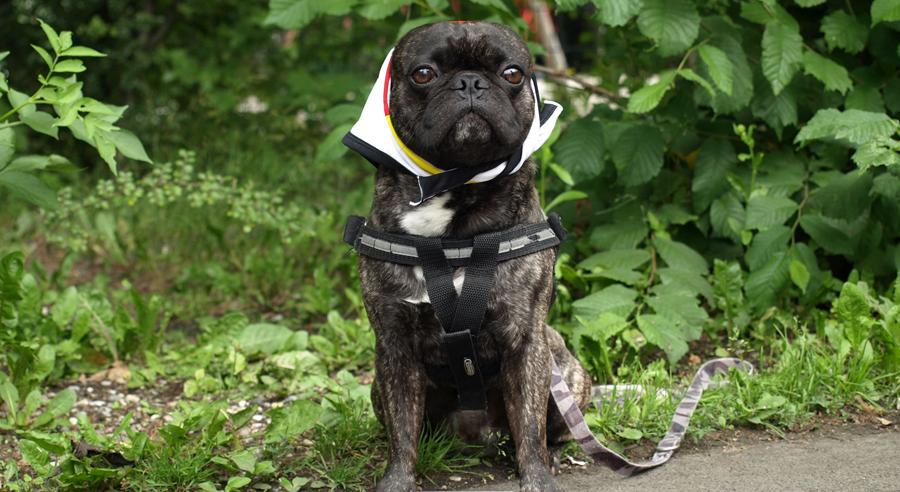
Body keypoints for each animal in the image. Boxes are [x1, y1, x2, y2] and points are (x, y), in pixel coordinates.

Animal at [356, 21, 596, 492]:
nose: (470, 82)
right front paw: (397, 480)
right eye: (424, 73)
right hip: (377, 388)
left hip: (563, 371)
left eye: (512, 73)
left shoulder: (525, 339)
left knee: (549, 427)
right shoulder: (393, 345)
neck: (455, 192)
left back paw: (555, 456)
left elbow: (529, 427)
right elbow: (402, 429)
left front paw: (537, 478)